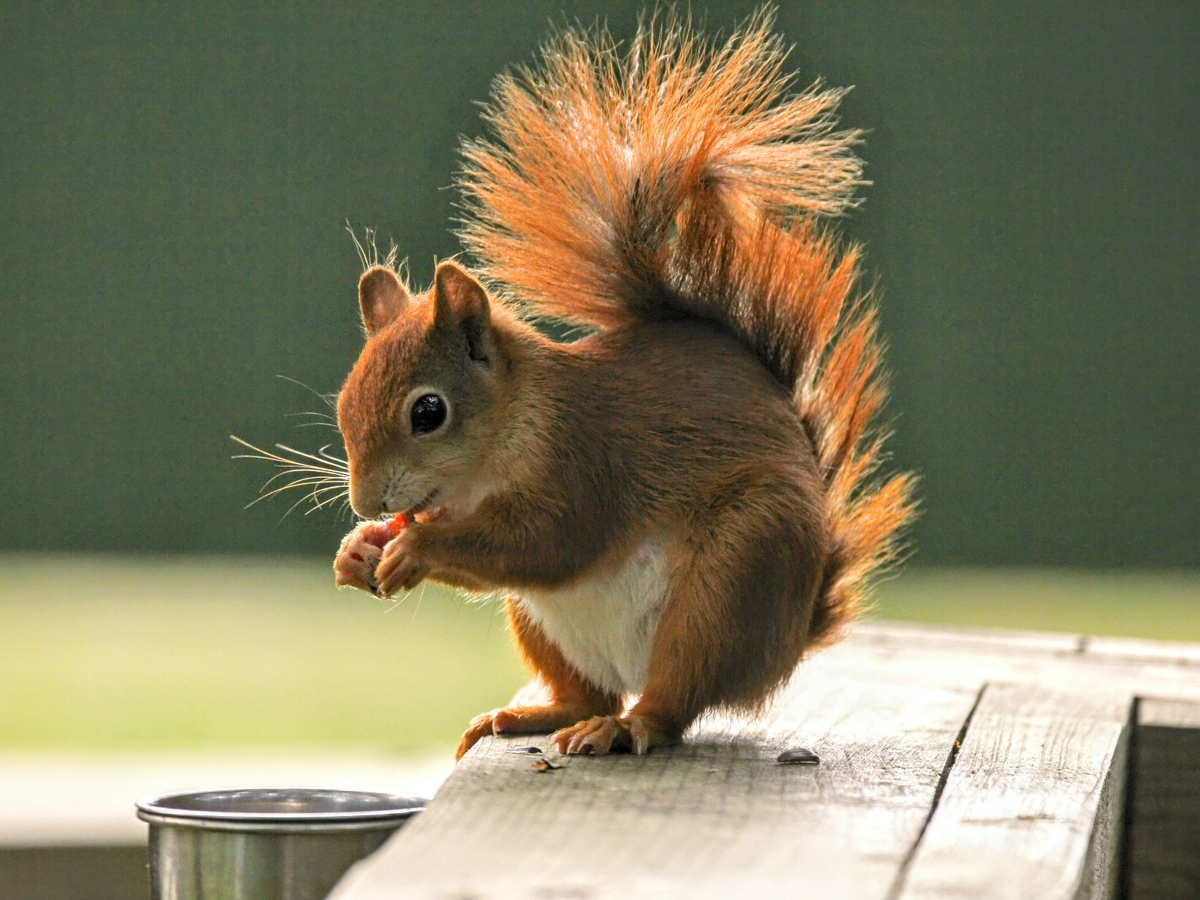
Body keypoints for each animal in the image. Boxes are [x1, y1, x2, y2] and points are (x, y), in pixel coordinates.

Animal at [332, 9, 915, 760]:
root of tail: (787, 639)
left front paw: (416, 548)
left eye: (428, 411)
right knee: (589, 692)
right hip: (539, 621)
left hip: (728, 582)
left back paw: (624, 728)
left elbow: (549, 540)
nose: (366, 501)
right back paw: (530, 716)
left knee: (670, 702)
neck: (511, 431)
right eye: (345, 405)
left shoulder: (586, 459)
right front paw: (358, 551)